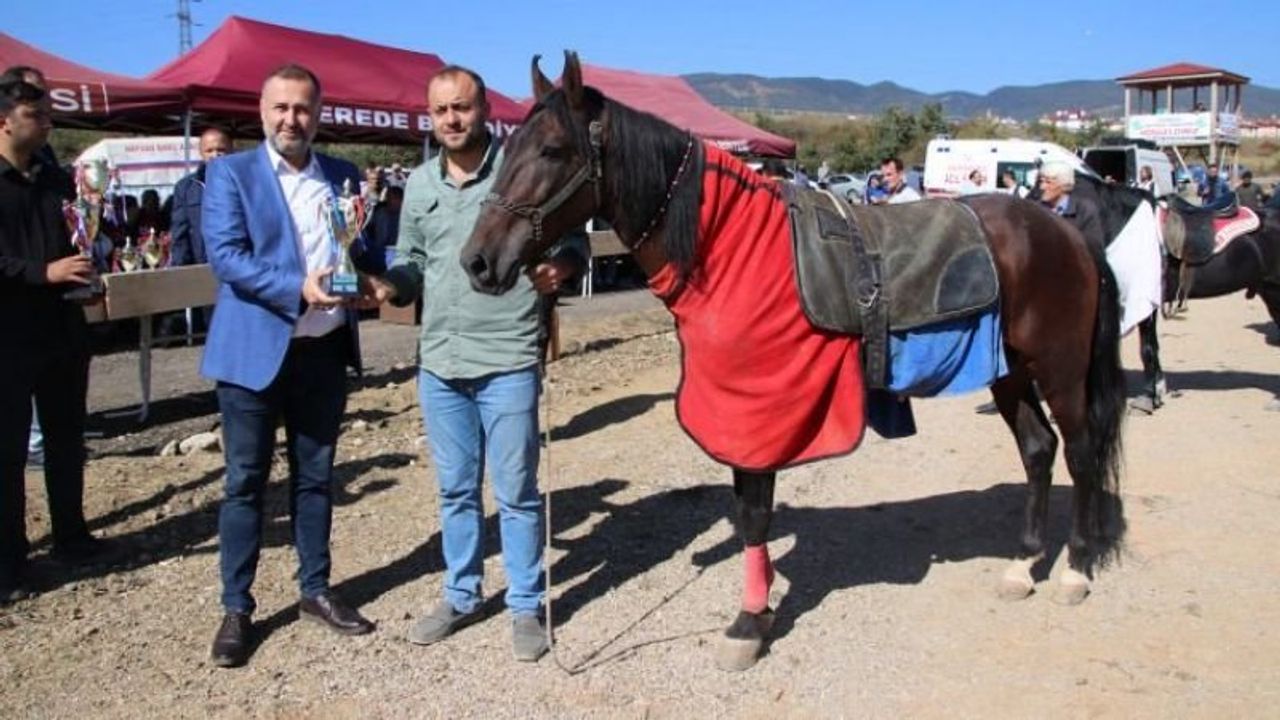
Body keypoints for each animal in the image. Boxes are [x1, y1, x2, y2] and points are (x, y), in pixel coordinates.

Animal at [465, 53, 1126, 671]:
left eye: (552, 149)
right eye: (507, 147)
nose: (479, 261)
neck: (728, 248)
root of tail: (1066, 233)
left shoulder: (764, 412)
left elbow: (756, 515)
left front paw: (747, 623)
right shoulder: (743, 418)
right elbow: (745, 513)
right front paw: (757, 612)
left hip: (1060, 371)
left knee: (1080, 453)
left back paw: (1074, 569)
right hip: (1008, 370)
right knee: (1038, 449)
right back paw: (1023, 564)